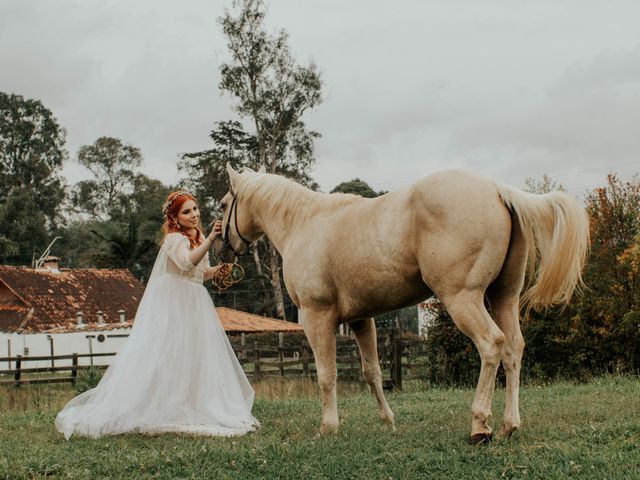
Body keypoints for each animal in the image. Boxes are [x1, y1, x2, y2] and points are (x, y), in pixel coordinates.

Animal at [216, 164, 592, 442]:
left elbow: (326, 375)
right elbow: (372, 373)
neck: (304, 223)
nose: (220, 250)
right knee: (514, 348)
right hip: (503, 298)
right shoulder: (361, 320)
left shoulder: (316, 317)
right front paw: (388, 422)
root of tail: (498, 190)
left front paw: (328, 427)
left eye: (222, 205)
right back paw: (508, 425)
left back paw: (479, 425)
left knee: (492, 345)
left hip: (464, 299)